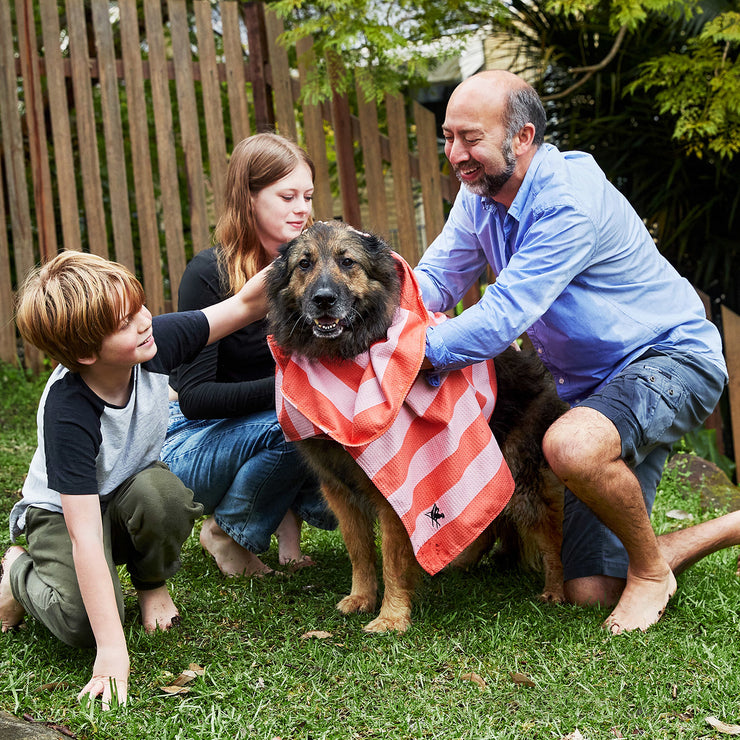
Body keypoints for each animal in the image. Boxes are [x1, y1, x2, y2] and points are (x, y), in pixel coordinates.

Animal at [266, 218, 568, 632]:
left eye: (347, 261)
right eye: (304, 264)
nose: (323, 299)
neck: (343, 359)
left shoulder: (398, 491)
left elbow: (393, 560)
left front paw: (392, 617)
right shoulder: (338, 489)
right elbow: (360, 550)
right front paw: (361, 597)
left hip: (521, 474)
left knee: (549, 527)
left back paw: (555, 588)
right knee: (488, 521)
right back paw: (463, 564)